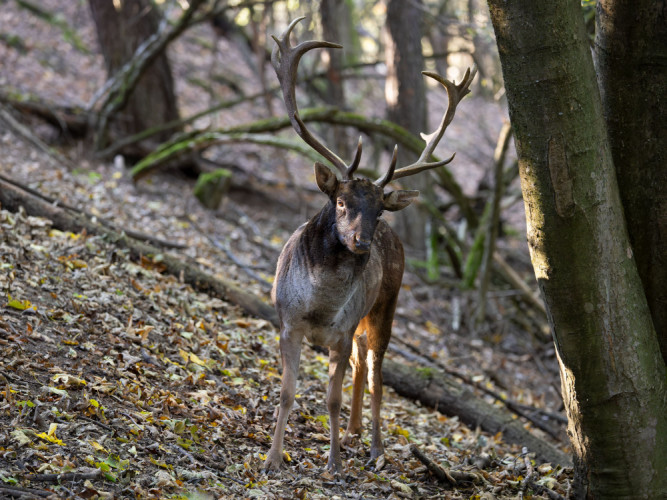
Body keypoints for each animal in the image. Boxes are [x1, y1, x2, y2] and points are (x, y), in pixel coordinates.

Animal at [264, 17, 478, 474]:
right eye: (341, 201)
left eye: (379, 210)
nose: (363, 241)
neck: (319, 306)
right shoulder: (287, 322)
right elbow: (288, 393)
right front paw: (272, 459)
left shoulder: (340, 332)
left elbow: (331, 398)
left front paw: (333, 464)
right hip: (360, 321)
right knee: (363, 363)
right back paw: (354, 433)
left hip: (384, 306)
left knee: (376, 372)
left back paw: (376, 447)